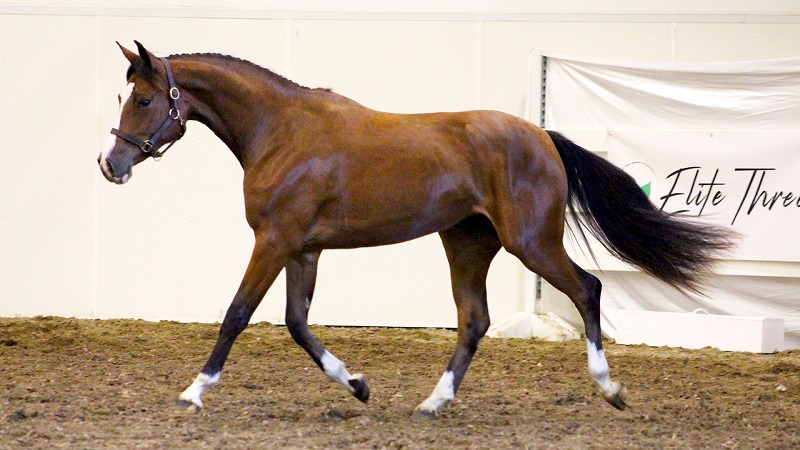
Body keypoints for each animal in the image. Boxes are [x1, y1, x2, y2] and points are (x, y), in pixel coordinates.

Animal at [98, 41, 734, 417]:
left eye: (145, 99)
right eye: (127, 95)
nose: (111, 164)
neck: (281, 132)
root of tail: (541, 135)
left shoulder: (274, 241)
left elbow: (237, 314)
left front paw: (194, 390)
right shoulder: (303, 249)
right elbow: (298, 324)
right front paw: (357, 384)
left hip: (531, 243)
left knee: (588, 290)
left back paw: (610, 388)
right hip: (467, 244)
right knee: (474, 320)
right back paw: (434, 401)